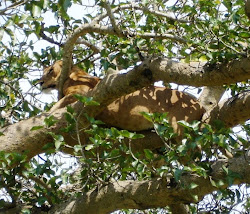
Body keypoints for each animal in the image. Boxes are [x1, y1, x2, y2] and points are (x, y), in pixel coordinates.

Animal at [40, 60, 205, 135]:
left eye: (50, 70)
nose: (39, 82)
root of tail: (199, 104)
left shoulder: (82, 94)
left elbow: (58, 103)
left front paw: (45, 114)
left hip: (180, 127)